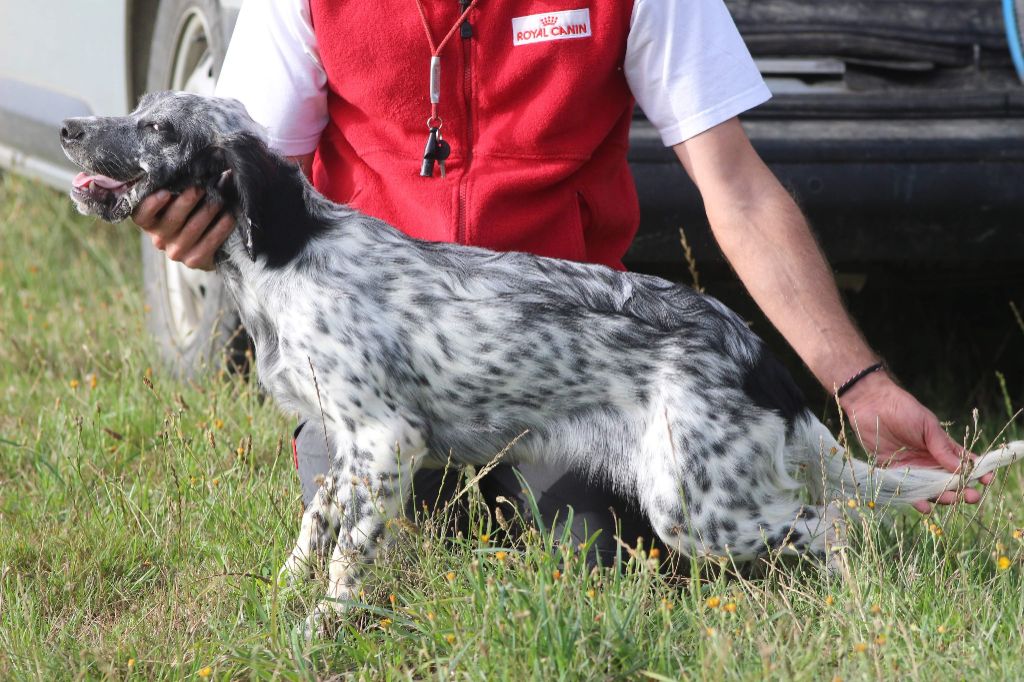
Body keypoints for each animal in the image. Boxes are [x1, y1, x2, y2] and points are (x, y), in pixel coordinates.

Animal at [59, 90, 1019, 630]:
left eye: (156, 127)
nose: (69, 128)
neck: (287, 255)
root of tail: (760, 358)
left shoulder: (386, 440)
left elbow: (348, 554)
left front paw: (320, 627)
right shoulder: (346, 450)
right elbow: (315, 527)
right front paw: (286, 595)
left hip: (695, 507)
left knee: (832, 526)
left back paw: (851, 596)